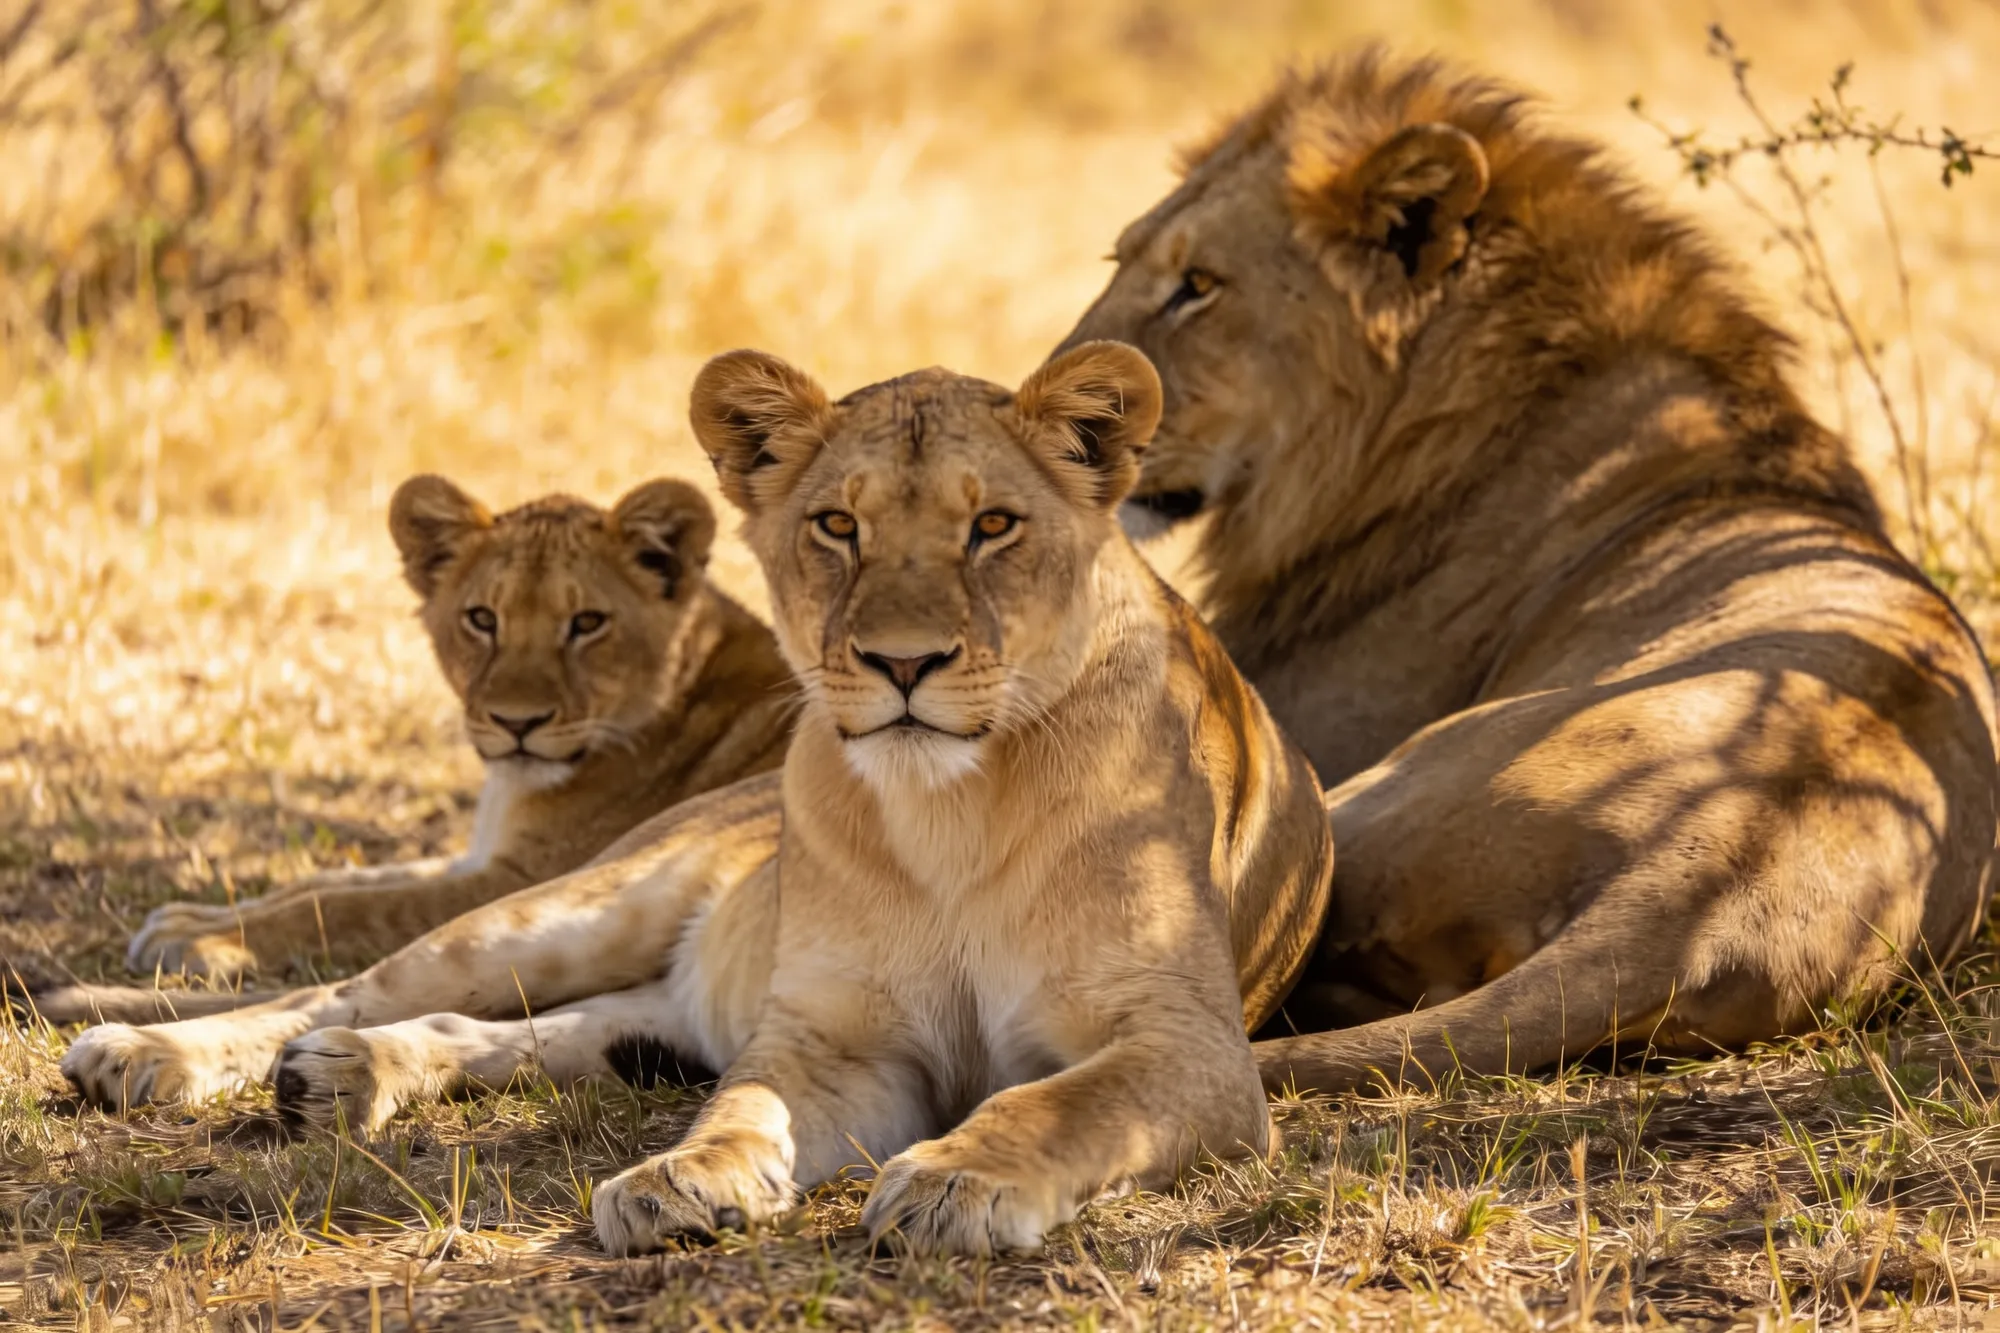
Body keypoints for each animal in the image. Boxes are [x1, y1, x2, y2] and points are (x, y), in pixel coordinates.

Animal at [56, 473, 794, 1015]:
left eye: (587, 623)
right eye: (482, 619)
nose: (516, 722)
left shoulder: (523, 876)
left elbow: (358, 903)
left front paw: (204, 943)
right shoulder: (479, 857)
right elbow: (336, 878)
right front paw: (185, 919)